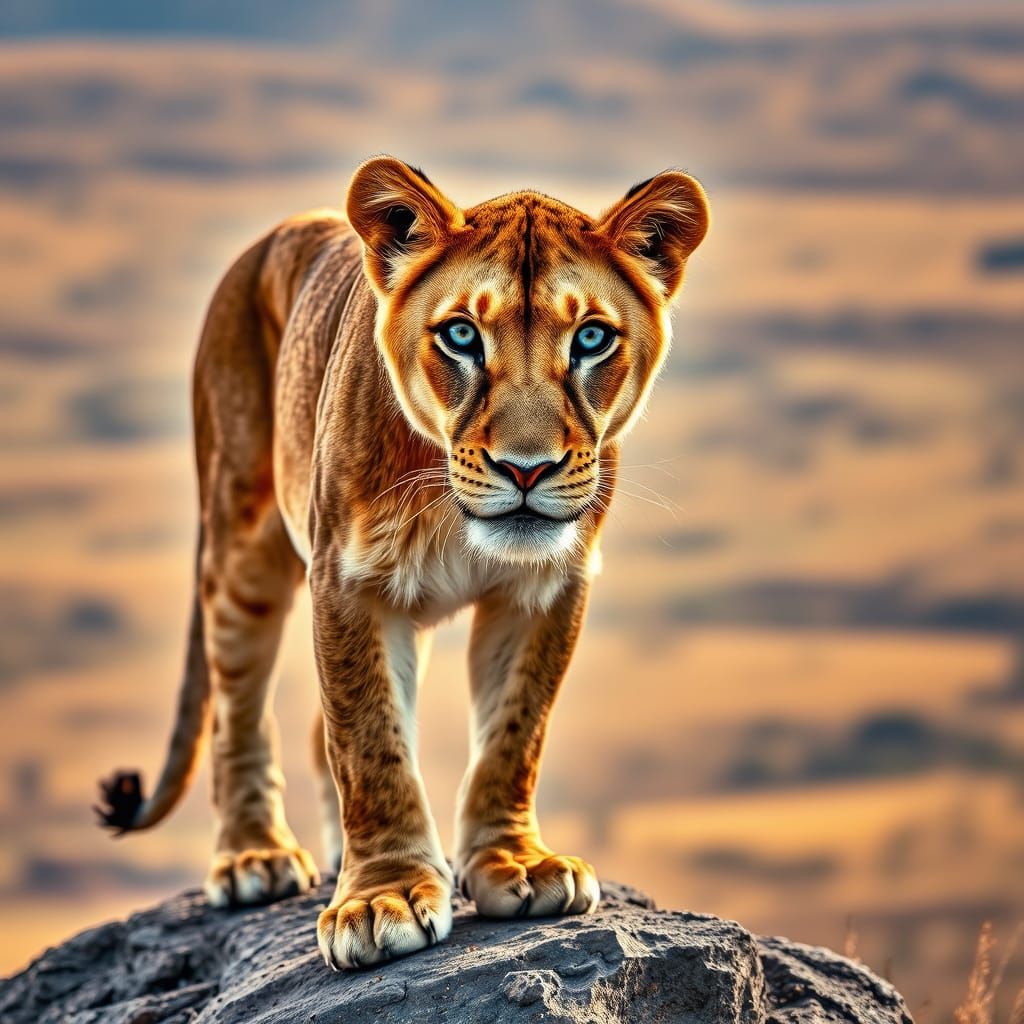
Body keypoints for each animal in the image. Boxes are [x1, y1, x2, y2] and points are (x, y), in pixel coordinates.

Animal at [96, 156, 709, 969]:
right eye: (461, 335)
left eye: (590, 339)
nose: (527, 470)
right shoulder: (346, 582)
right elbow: (369, 741)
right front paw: (379, 898)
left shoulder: (547, 587)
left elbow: (515, 732)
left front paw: (515, 864)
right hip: (241, 543)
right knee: (238, 709)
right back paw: (255, 857)